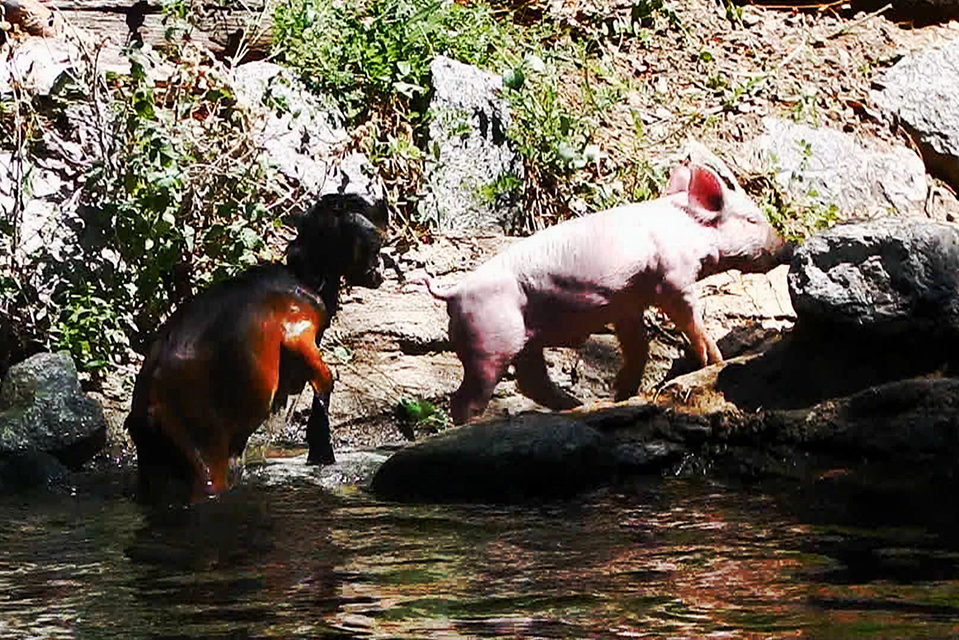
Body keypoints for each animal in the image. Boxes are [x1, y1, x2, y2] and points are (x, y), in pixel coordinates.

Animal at [125, 192, 384, 502]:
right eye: (374, 241)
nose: (381, 268)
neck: (305, 278)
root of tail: (148, 410)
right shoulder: (297, 330)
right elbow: (325, 380)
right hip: (203, 453)